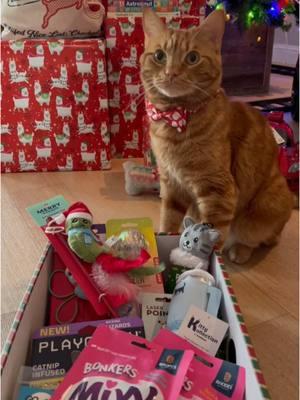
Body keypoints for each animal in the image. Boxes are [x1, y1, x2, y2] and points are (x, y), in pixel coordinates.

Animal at [142, 7, 294, 262]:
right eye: (160, 56)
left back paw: (240, 251)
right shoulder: (172, 186)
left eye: (192, 58)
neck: (175, 117)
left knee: (260, 238)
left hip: (266, 207)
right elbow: (169, 220)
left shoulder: (219, 191)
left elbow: (213, 232)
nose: (171, 73)